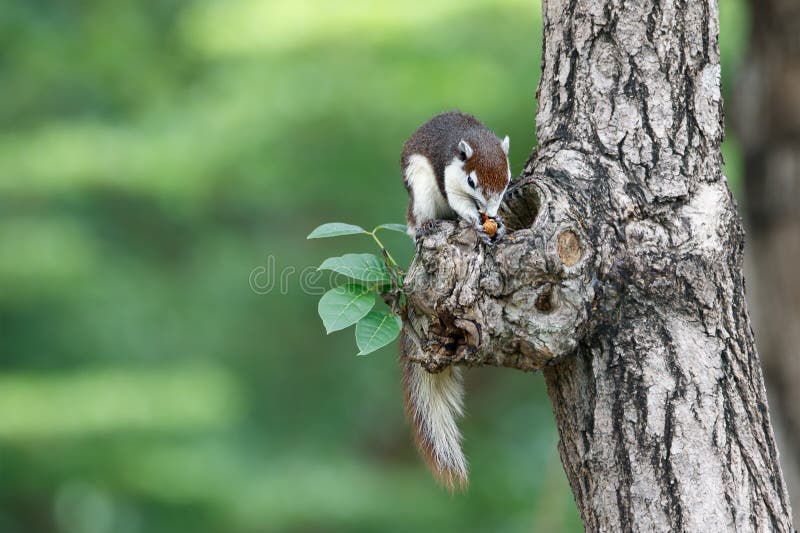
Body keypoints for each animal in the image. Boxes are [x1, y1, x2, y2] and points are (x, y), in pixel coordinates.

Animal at [400, 110, 511, 490]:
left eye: (507, 178)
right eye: (472, 181)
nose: (490, 210)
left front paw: (498, 223)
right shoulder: (448, 175)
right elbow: (460, 204)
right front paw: (477, 222)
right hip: (419, 190)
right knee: (418, 220)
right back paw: (426, 226)